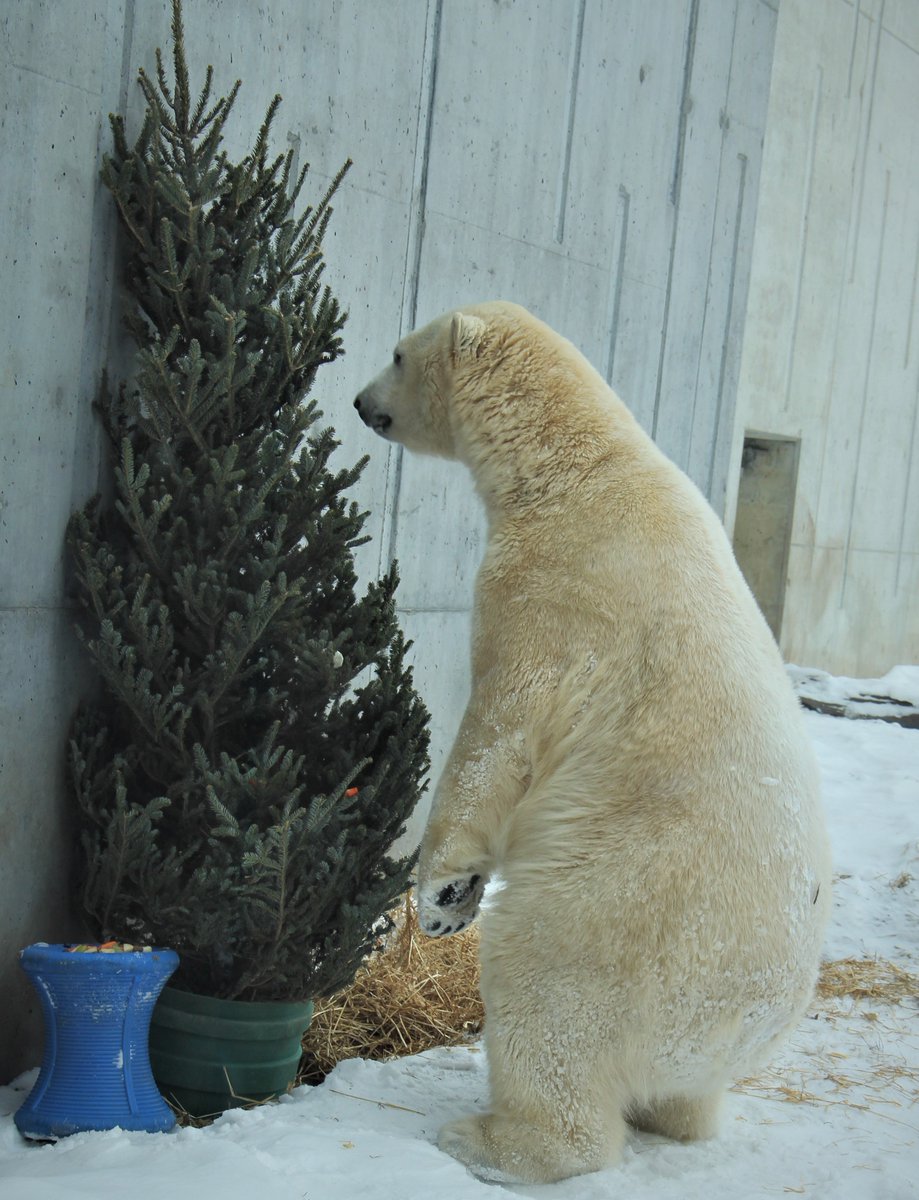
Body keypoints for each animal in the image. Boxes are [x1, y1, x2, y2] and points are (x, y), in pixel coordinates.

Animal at [355, 300, 835, 1180]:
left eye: (399, 354)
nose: (362, 403)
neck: (578, 466)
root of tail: (735, 1026)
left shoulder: (552, 594)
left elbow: (499, 732)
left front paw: (442, 899)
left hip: (625, 912)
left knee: (545, 986)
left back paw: (495, 1139)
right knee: (676, 1095)